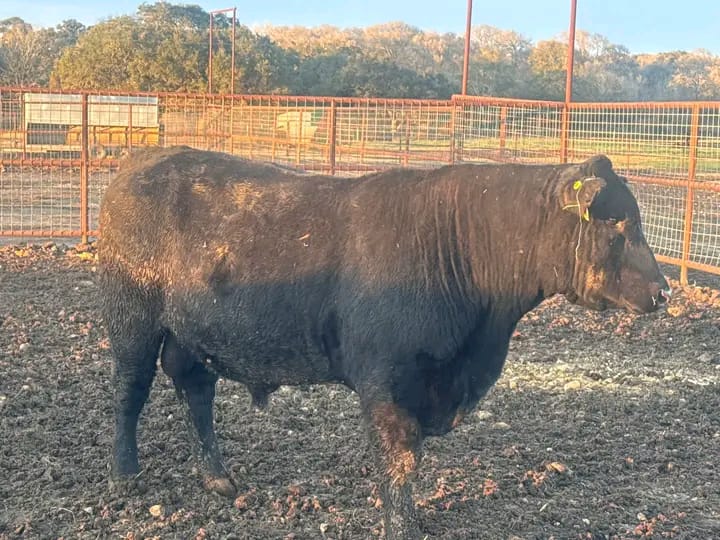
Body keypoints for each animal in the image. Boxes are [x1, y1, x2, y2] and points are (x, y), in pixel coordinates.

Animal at [98, 146, 671, 539]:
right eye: (619, 223)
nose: (664, 291)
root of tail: (140, 161)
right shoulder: (387, 382)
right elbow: (399, 462)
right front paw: (403, 525)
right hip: (131, 320)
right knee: (130, 392)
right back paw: (125, 475)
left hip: (191, 334)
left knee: (195, 391)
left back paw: (218, 478)